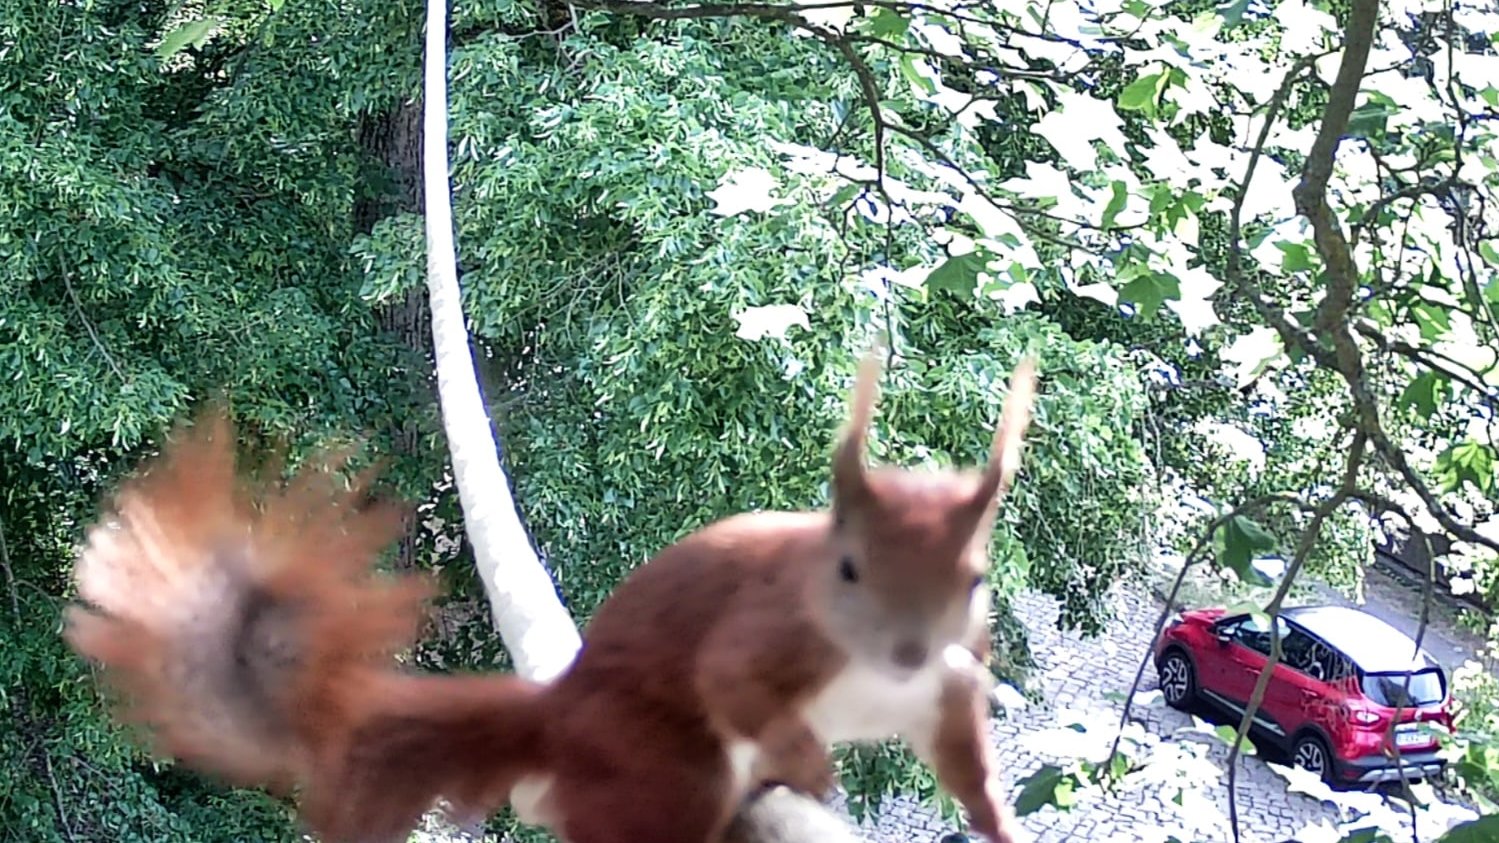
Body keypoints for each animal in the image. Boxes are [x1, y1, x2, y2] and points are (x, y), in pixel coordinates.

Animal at [65, 348, 1038, 843]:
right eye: (847, 569)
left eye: (975, 577)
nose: (906, 646)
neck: (877, 680)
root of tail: (562, 710)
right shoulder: (768, 632)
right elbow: (732, 680)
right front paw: (807, 760)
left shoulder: (946, 682)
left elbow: (965, 761)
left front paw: (994, 824)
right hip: (658, 763)